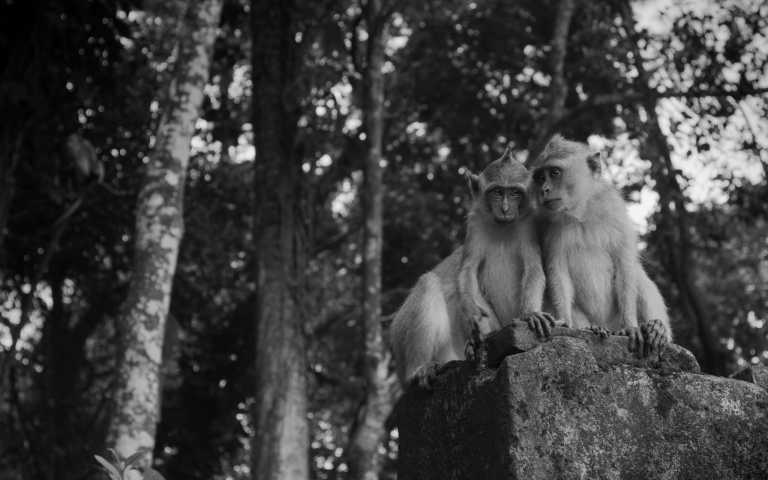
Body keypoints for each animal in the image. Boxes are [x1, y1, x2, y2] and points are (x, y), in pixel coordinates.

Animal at [392, 148, 556, 388]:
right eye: (497, 192)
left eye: (515, 193)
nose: (505, 209)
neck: (502, 227)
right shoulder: (475, 225)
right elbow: (467, 271)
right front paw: (472, 315)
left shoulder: (529, 225)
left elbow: (534, 268)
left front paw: (531, 314)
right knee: (429, 283)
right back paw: (422, 367)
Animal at [532, 134, 668, 352]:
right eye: (539, 178)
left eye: (554, 172)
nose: (544, 190)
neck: (582, 212)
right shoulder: (550, 228)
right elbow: (557, 271)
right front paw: (564, 320)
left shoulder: (616, 212)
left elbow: (624, 265)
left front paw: (630, 326)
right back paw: (594, 329)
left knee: (637, 273)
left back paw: (656, 328)